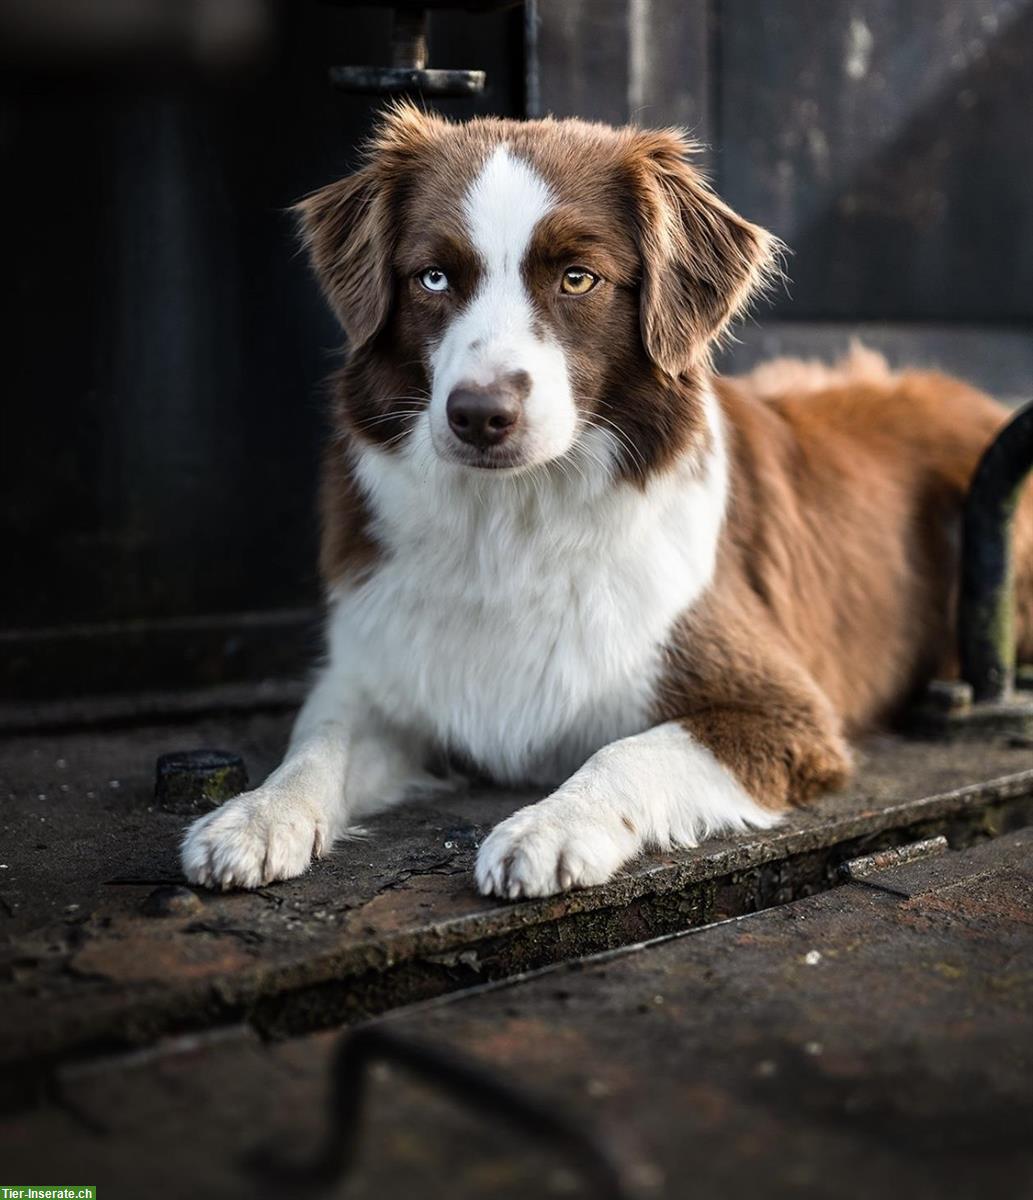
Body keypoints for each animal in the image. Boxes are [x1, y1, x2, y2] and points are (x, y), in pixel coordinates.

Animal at [181, 103, 1027, 902]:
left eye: (577, 278)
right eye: (433, 278)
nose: (479, 415)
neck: (514, 522)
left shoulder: (783, 712)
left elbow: (626, 751)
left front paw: (548, 827)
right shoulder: (377, 669)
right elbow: (316, 741)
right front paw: (255, 814)